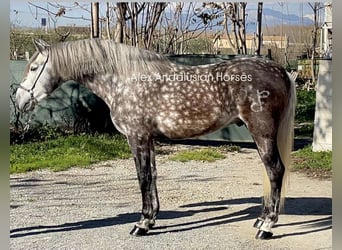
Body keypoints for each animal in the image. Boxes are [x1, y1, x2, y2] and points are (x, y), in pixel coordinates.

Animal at [16, 38, 296, 239]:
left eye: (33, 67)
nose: (20, 101)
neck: (124, 81)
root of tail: (280, 70)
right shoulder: (148, 139)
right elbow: (152, 175)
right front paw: (151, 219)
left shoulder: (136, 137)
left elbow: (143, 178)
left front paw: (141, 224)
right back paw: (260, 219)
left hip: (262, 132)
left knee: (275, 170)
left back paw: (267, 226)